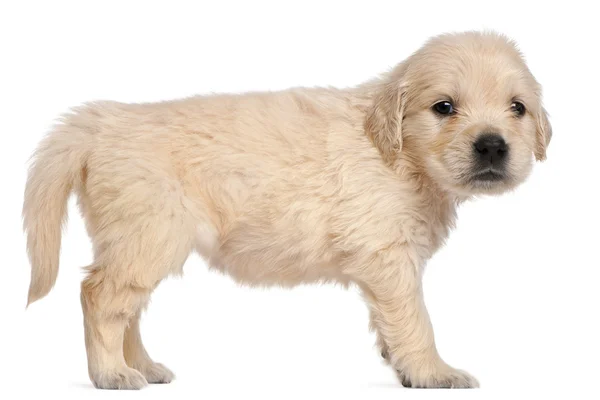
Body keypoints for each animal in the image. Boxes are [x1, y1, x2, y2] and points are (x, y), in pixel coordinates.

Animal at [22, 31, 548, 388]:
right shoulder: (387, 255)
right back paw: (111, 374)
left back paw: (142, 366)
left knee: (127, 308)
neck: (397, 154)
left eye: (517, 108)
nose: (492, 146)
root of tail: (101, 122)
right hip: (149, 234)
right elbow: (416, 320)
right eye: (444, 107)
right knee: (100, 297)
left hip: (137, 241)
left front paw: (399, 363)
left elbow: (393, 322)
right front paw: (433, 372)